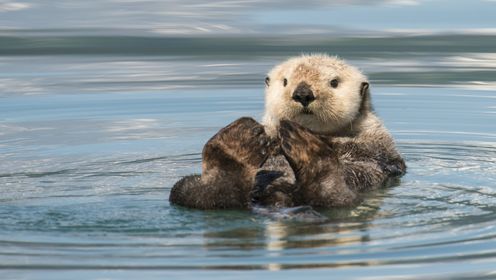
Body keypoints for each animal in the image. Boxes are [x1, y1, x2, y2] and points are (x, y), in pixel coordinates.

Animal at [170, 54, 406, 210]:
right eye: (285, 81)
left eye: (334, 82)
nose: (303, 93)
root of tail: (279, 199)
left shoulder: (379, 146)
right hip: (185, 188)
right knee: (205, 197)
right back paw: (236, 145)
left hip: (345, 197)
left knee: (333, 198)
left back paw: (305, 148)